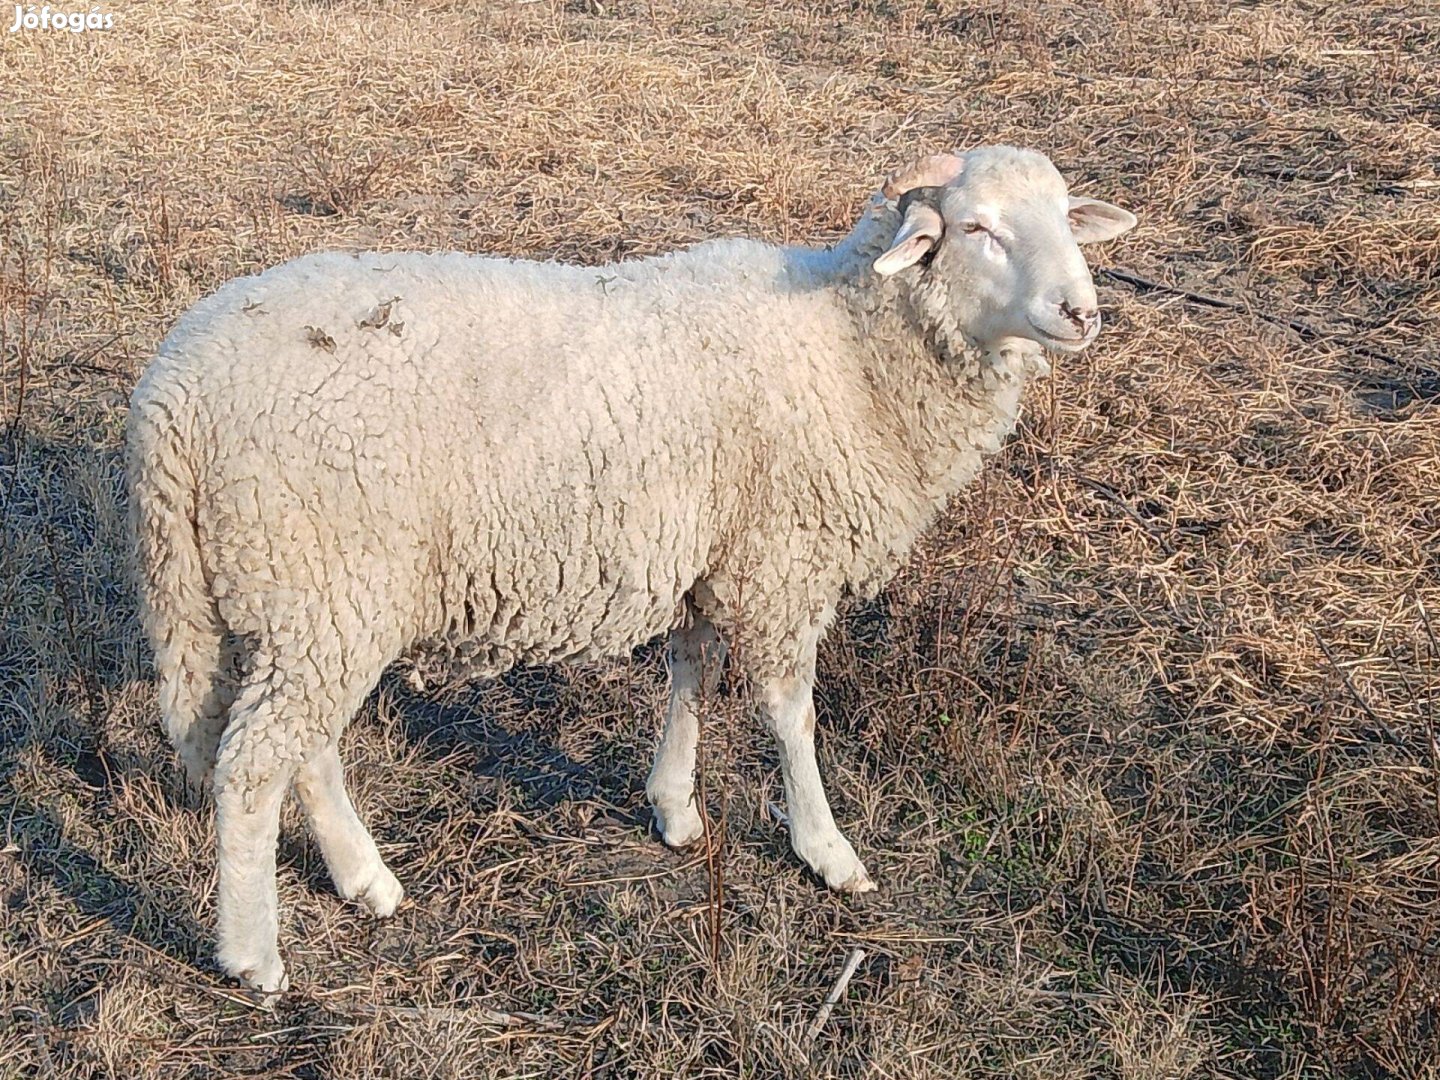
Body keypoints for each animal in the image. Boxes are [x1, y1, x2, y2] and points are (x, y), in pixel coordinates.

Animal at [123, 146, 1134, 996]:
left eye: (1064, 218)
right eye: (977, 228)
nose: (1082, 312)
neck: (848, 350)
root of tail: (172, 393)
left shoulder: (713, 552)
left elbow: (692, 674)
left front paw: (674, 808)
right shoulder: (781, 561)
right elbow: (791, 712)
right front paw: (825, 848)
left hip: (310, 599)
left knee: (304, 749)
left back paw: (364, 879)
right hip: (323, 579)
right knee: (253, 767)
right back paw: (255, 955)